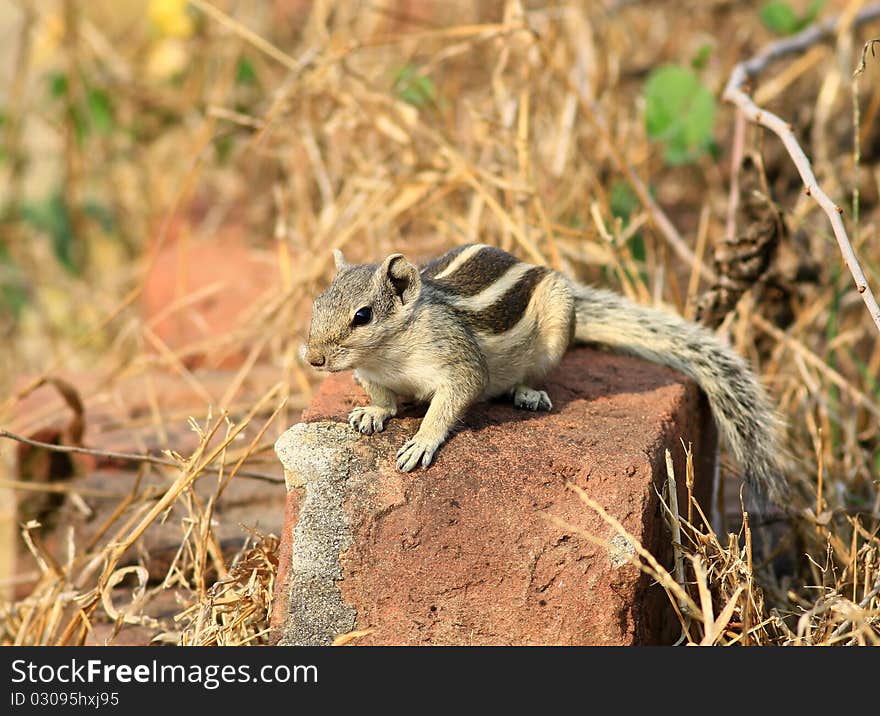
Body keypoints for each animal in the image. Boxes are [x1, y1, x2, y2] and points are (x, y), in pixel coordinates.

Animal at [304, 242, 792, 504]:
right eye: (317, 302)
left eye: (363, 316)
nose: (312, 359)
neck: (390, 353)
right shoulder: (370, 372)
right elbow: (382, 397)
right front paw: (372, 413)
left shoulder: (458, 361)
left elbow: (452, 401)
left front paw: (421, 441)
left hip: (557, 322)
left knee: (536, 374)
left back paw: (528, 394)